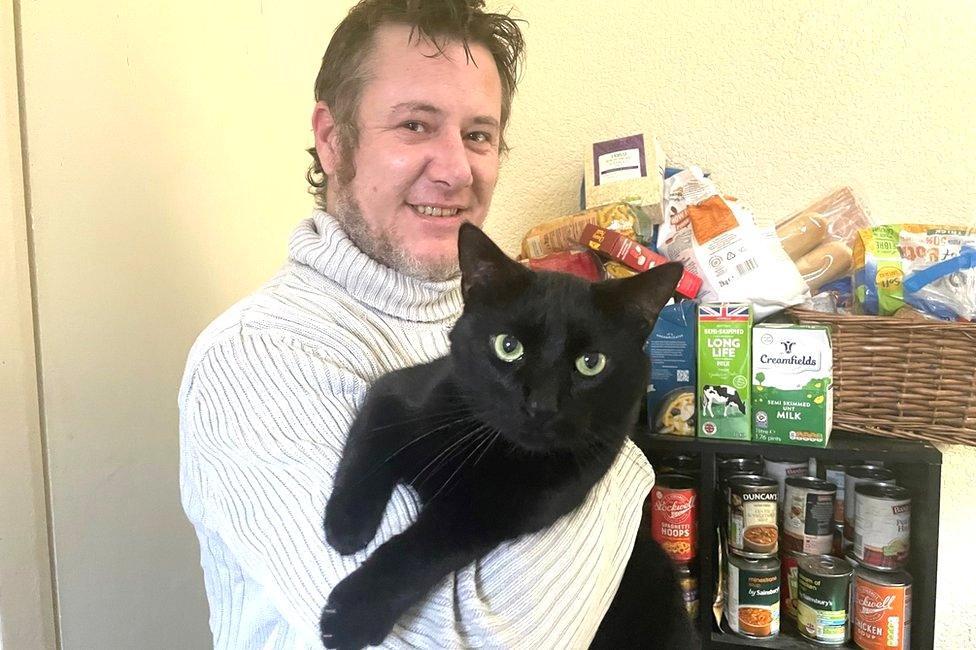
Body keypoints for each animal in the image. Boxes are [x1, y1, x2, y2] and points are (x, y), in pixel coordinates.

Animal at [322, 220, 692, 644]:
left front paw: (351, 615)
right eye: (508, 346)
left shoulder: (490, 516)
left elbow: (418, 552)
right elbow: (367, 453)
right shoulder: (392, 395)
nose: (541, 405)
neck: (497, 449)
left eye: (591, 363)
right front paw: (346, 527)